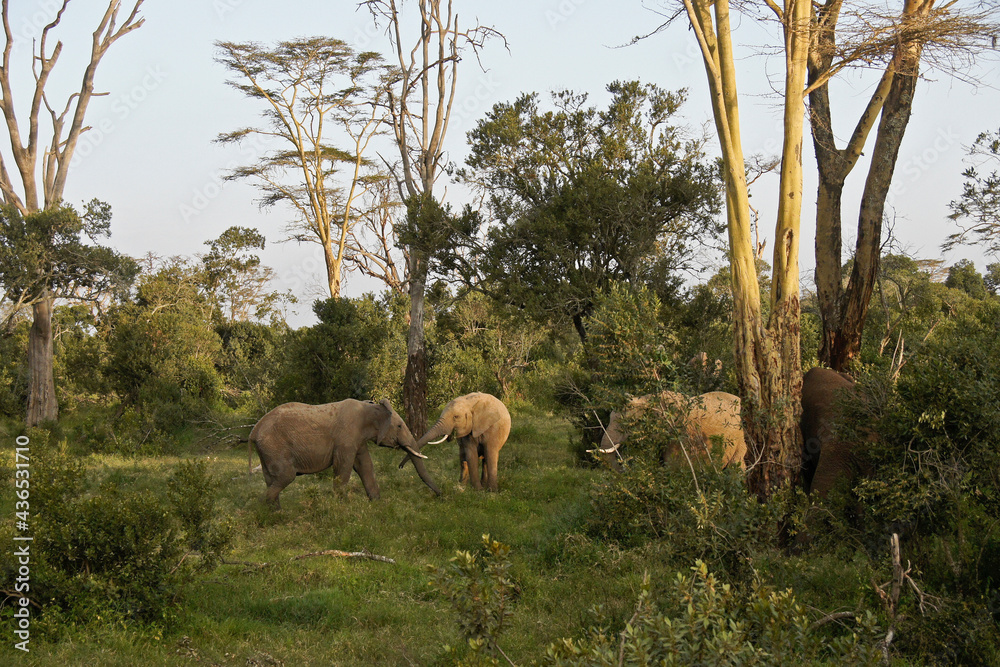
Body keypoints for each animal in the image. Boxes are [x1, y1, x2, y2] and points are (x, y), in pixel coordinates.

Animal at [249, 399, 440, 509]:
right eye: (399, 426)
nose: (441, 496)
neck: (369, 407)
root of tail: (254, 430)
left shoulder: (358, 439)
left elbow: (365, 466)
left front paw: (377, 505)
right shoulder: (346, 438)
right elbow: (344, 468)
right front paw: (341, 509)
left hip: (267, 450)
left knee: (272, 479)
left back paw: (275, 514)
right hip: (274, 447)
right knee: (286, 476)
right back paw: (259, 511)